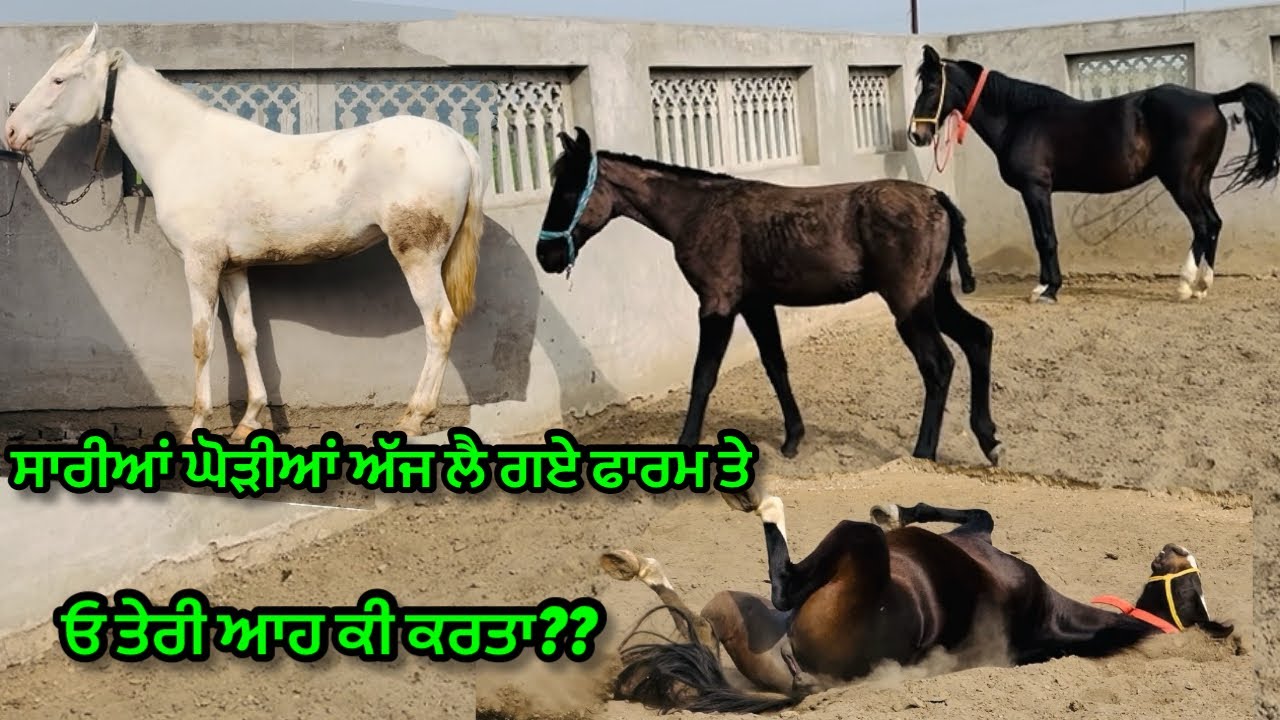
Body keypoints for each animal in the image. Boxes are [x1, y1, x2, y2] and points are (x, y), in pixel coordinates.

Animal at [4, 24, 486, 442]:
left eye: (58, 79)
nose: (11, 132)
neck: (182, 146)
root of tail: (461, 144)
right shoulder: (232, 268)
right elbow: (244, 338)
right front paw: (248, 421)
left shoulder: (200, 264)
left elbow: (202, 341)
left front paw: (196, 426)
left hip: (417, 255)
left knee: (439, 324)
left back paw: (413, 417)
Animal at [535, 127, 1001, 465]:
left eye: (568, 190)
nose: (545, 254)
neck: (700, 211)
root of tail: (935, 196)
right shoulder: (756, 305)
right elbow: (776, 365)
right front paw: (793, 438)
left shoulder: (718, 304)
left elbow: (703, 375)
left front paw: (686, 444)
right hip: (933, 297)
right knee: (978, 337)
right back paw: (988, 438)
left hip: (909, 305)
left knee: (937, 365)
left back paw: (923, 452)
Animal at [601, 485, 1236, 713]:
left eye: (1193, 591)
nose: (1176, 547)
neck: (1049, 615)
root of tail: (809, 682)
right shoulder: (978, 535)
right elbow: (979, 510)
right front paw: (897, 510)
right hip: (736, 613)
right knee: (701, 627)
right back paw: (635, 564)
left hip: (841, 559)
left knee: (785, 579)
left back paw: (754, 503)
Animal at [908, 44, 1280, 305]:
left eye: (931, 86)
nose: (916, 135)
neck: (1020, 118)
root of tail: (1211, 98)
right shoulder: (1036, 191)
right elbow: (1042, 237)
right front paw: (1045, 286)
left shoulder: (1036, 188)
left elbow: (1045, 238)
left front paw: (1047, 290)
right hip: (1199, 181)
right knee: (1214, 223)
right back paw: (1203, 286)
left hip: (1182, 182)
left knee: (1202, 225)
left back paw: (1185, 285)